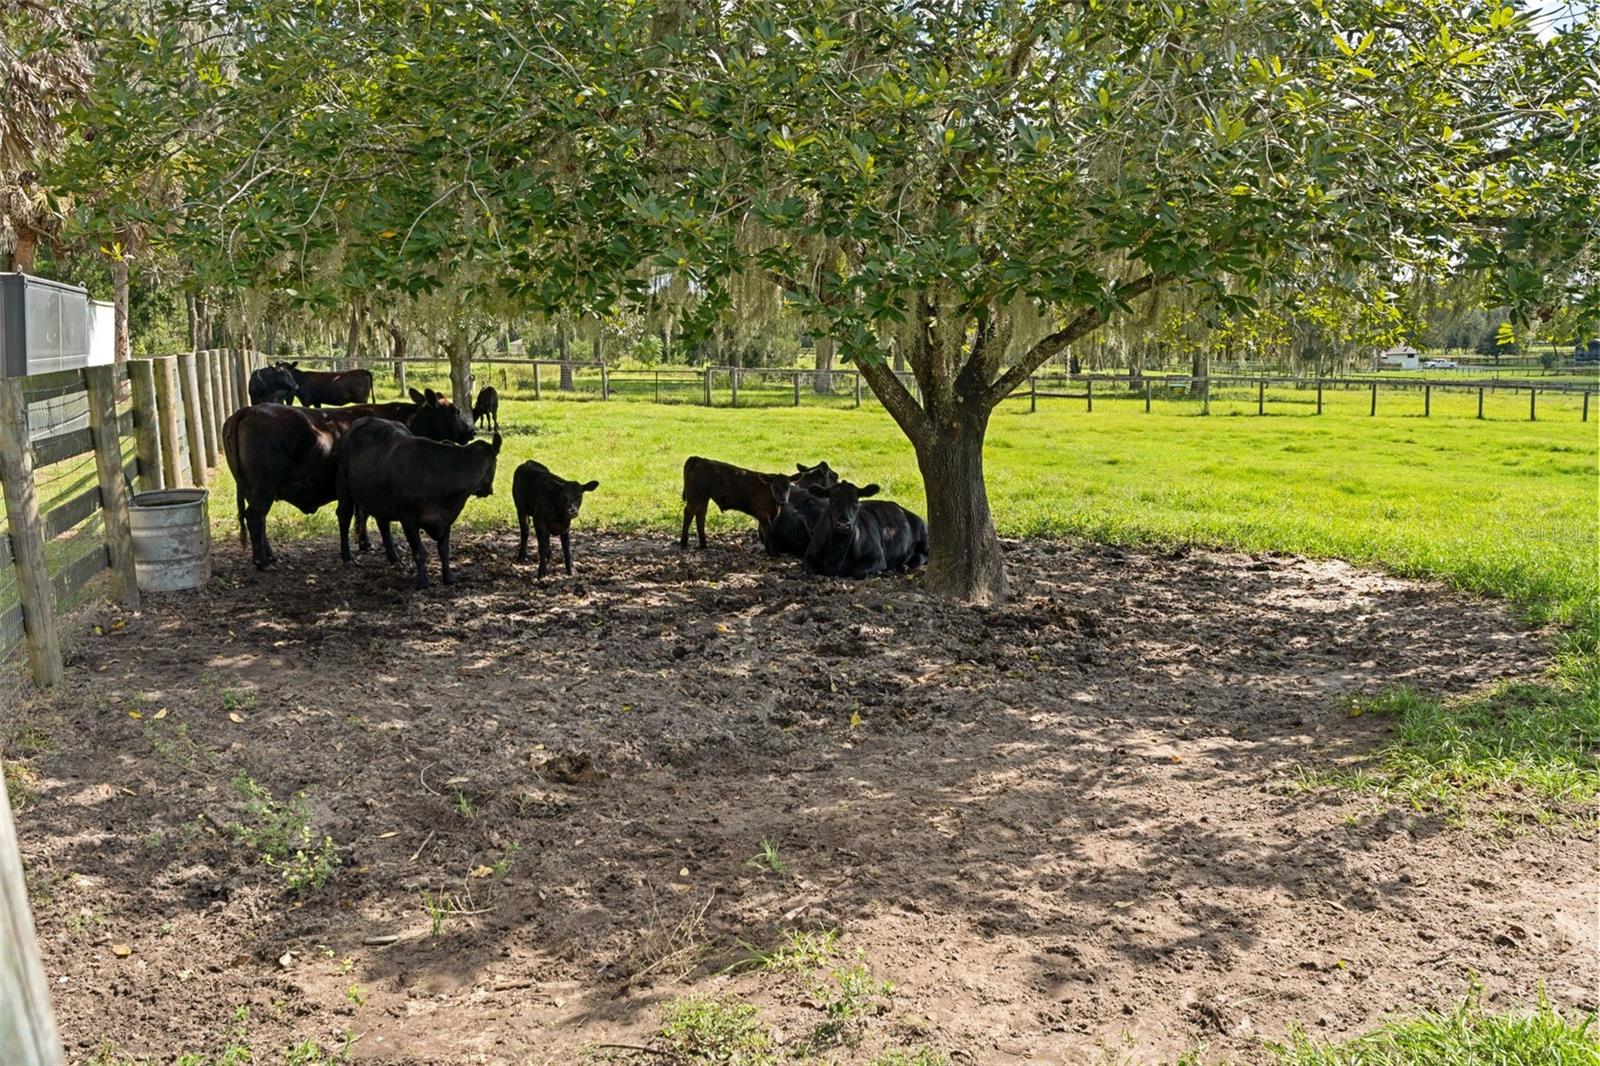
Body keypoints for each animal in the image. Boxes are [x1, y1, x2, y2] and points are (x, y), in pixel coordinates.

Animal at [223, 391, 473, 569]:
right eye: (454, 411)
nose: (471, 432)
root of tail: (248, 410)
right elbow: (367, 515)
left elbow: (361, 514)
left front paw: (365, 543)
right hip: (264, 488)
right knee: (255, 518)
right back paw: (263, 562)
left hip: (253, 490)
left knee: (258, 520)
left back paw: (270, 556)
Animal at [336, 419, 503, 588]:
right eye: (496, 461)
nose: (488, 490)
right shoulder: (408, 518)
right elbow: (419, 552)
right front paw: (423, 581)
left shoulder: (446, 518)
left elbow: (444, 549)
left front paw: (449, 577)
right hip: (345, 487)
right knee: (344, 516)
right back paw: (347, 558)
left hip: (378, 497)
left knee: (382, 522)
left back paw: (394, 558)